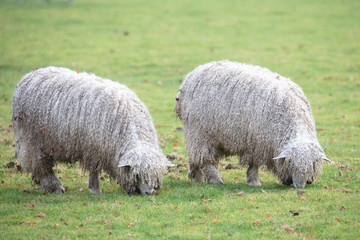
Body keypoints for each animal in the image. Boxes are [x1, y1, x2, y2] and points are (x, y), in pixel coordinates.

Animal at [12, 66, 173, 194]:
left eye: (155, 175)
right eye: (137, 175)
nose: (149, 192)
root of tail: (29, 75)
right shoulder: (94, 148)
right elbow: (94, 170)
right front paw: (95, 189)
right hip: (31, 140)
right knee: (40, 166)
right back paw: (55, 187)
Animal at [175, 60, 332, 188]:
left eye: (313, 164)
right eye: (290, 163)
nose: (301, 186)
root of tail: (191, 75)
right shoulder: (257, 142)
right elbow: (254, 164)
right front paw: (254, 182)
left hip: (197, 135)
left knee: (195, 156)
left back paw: (195, 176)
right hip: (200, 132)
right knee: (205, 158)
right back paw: (215, 179)